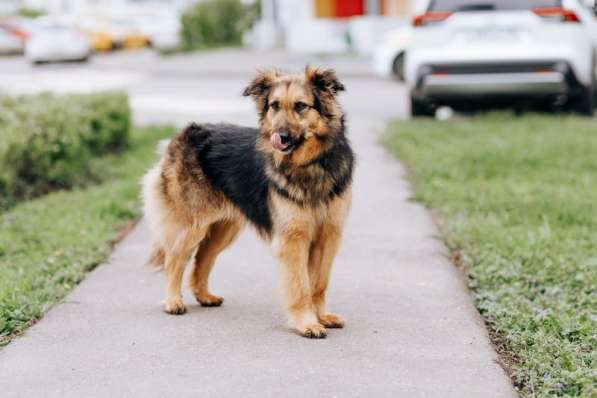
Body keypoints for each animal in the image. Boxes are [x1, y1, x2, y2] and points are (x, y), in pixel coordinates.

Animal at [141, 67, 352, 338]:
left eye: (300, 106)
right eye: (274, 106)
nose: (279, 137)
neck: (312, 163)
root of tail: (185, 132)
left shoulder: (329, 235)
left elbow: (319, 283)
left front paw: (322, 316)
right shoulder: (294, 238)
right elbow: (300, 285)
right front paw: (306, 322)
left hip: (224, 229)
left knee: (202, 259)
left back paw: (205, 296)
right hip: (192, 226)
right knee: (175, 260)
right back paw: (173, 301)